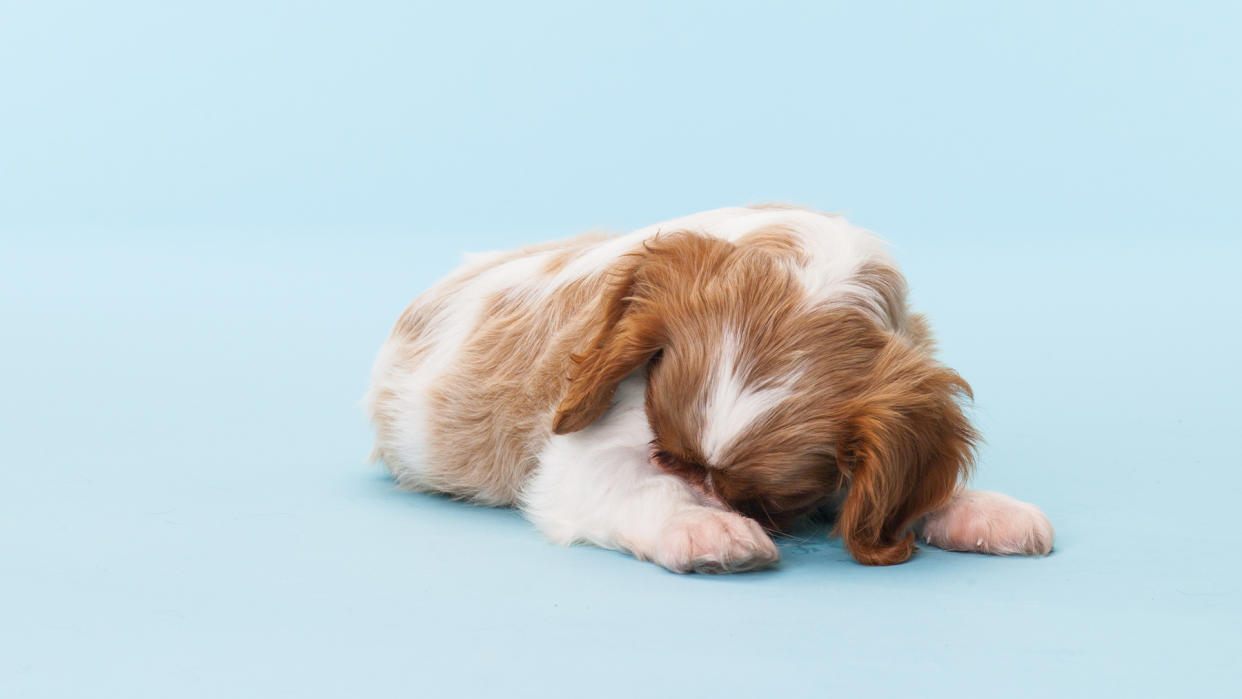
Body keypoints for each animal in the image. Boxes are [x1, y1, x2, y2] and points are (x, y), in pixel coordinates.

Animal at [362, 203, 1053, 573]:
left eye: (769, 502)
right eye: (667, 455)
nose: (710, 499)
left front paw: (978, 508)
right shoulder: (582, 458)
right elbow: (637, 486)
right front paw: (702, 526)